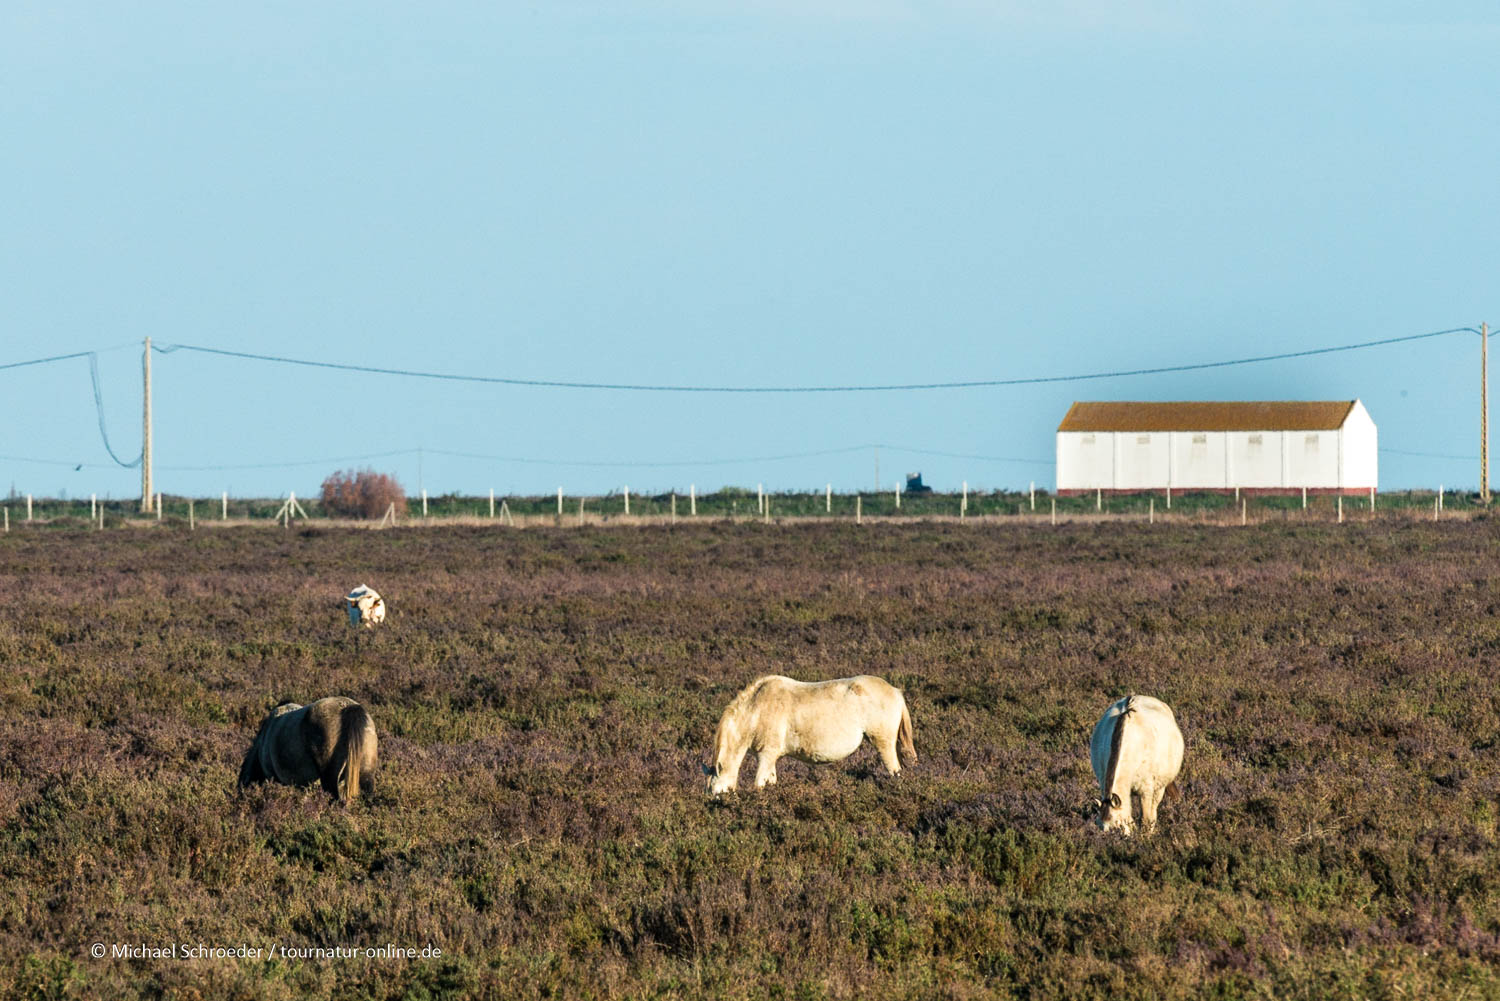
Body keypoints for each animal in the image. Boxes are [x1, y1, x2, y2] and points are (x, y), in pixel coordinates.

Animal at [702, 672, 912, 798]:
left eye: (716, 793)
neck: (756, 709)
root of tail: (895, 691)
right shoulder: (771, 760)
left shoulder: (766, 756)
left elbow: (759, 784)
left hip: (884, 744)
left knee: (895, 771)